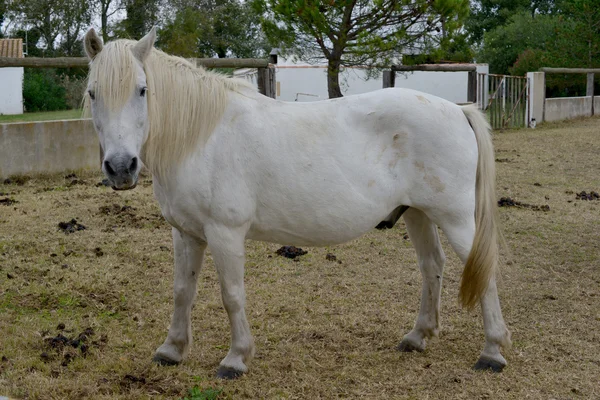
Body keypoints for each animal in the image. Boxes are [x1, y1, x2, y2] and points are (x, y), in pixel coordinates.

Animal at [82, 27, 508, 378]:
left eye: (141, 90)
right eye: (92, 92)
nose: (120, 167)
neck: (201, 136)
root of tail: (457, 110)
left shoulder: (224, 233)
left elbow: (231, 295)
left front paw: (236, 358)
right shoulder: (186, 234)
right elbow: (182, 291)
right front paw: (172, 349)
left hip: (455, 218)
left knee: (483, 270)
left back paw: (492, 352)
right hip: (418, 214)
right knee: (431, 266)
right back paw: (418, 336)